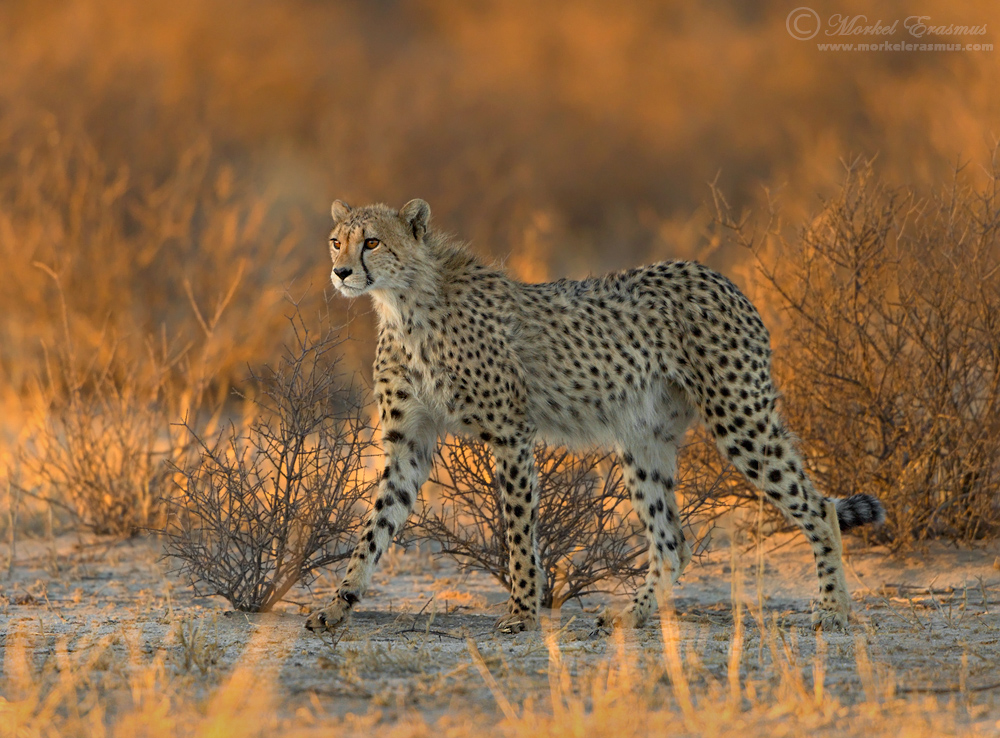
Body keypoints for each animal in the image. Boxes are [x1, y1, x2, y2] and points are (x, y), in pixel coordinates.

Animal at [304, 198, 885, 635]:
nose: (340, 271)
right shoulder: (410, 443)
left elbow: (518, 532)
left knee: (818, 507)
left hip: (739, 418)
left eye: (372, 242)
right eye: (336, 241)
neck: (403, 303)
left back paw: (834, 609)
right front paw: (337, 605)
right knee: (672, 543)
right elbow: (374, 528)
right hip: (643, 441)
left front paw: (522, 613)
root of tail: (720, 277)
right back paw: (631, 615)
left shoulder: (510, 434)